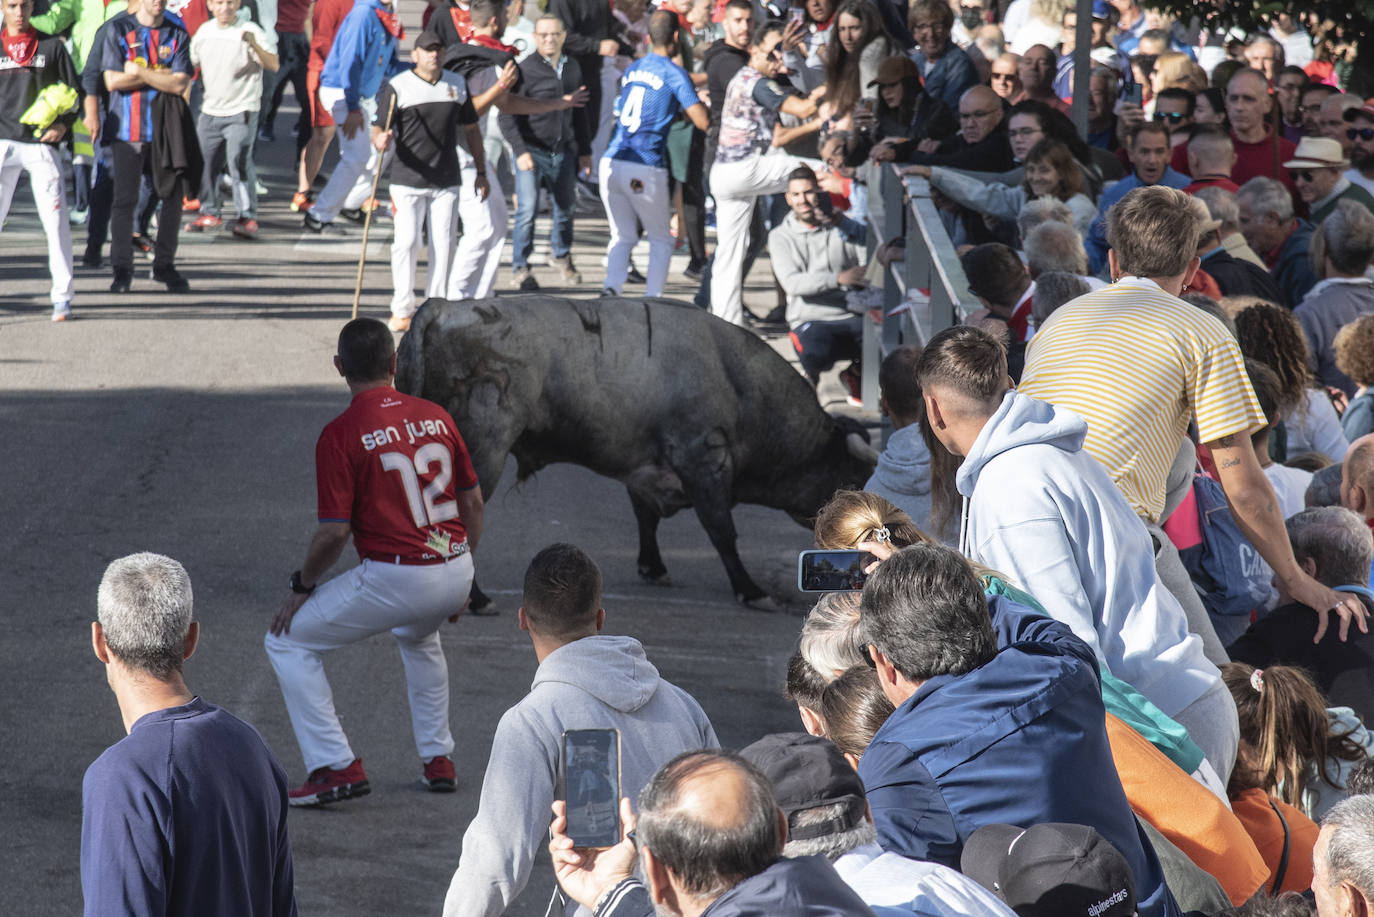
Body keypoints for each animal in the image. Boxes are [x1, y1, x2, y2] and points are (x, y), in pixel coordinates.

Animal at [392, 295, 873, 610]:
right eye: (849, 479)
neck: (741, 385)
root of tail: (442, 307)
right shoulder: (704, 462)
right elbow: (722, 531)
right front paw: (751, 589)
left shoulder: (644, 467)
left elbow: (645, 518)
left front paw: (653, 566)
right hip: (483, 455)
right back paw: (476, 598)